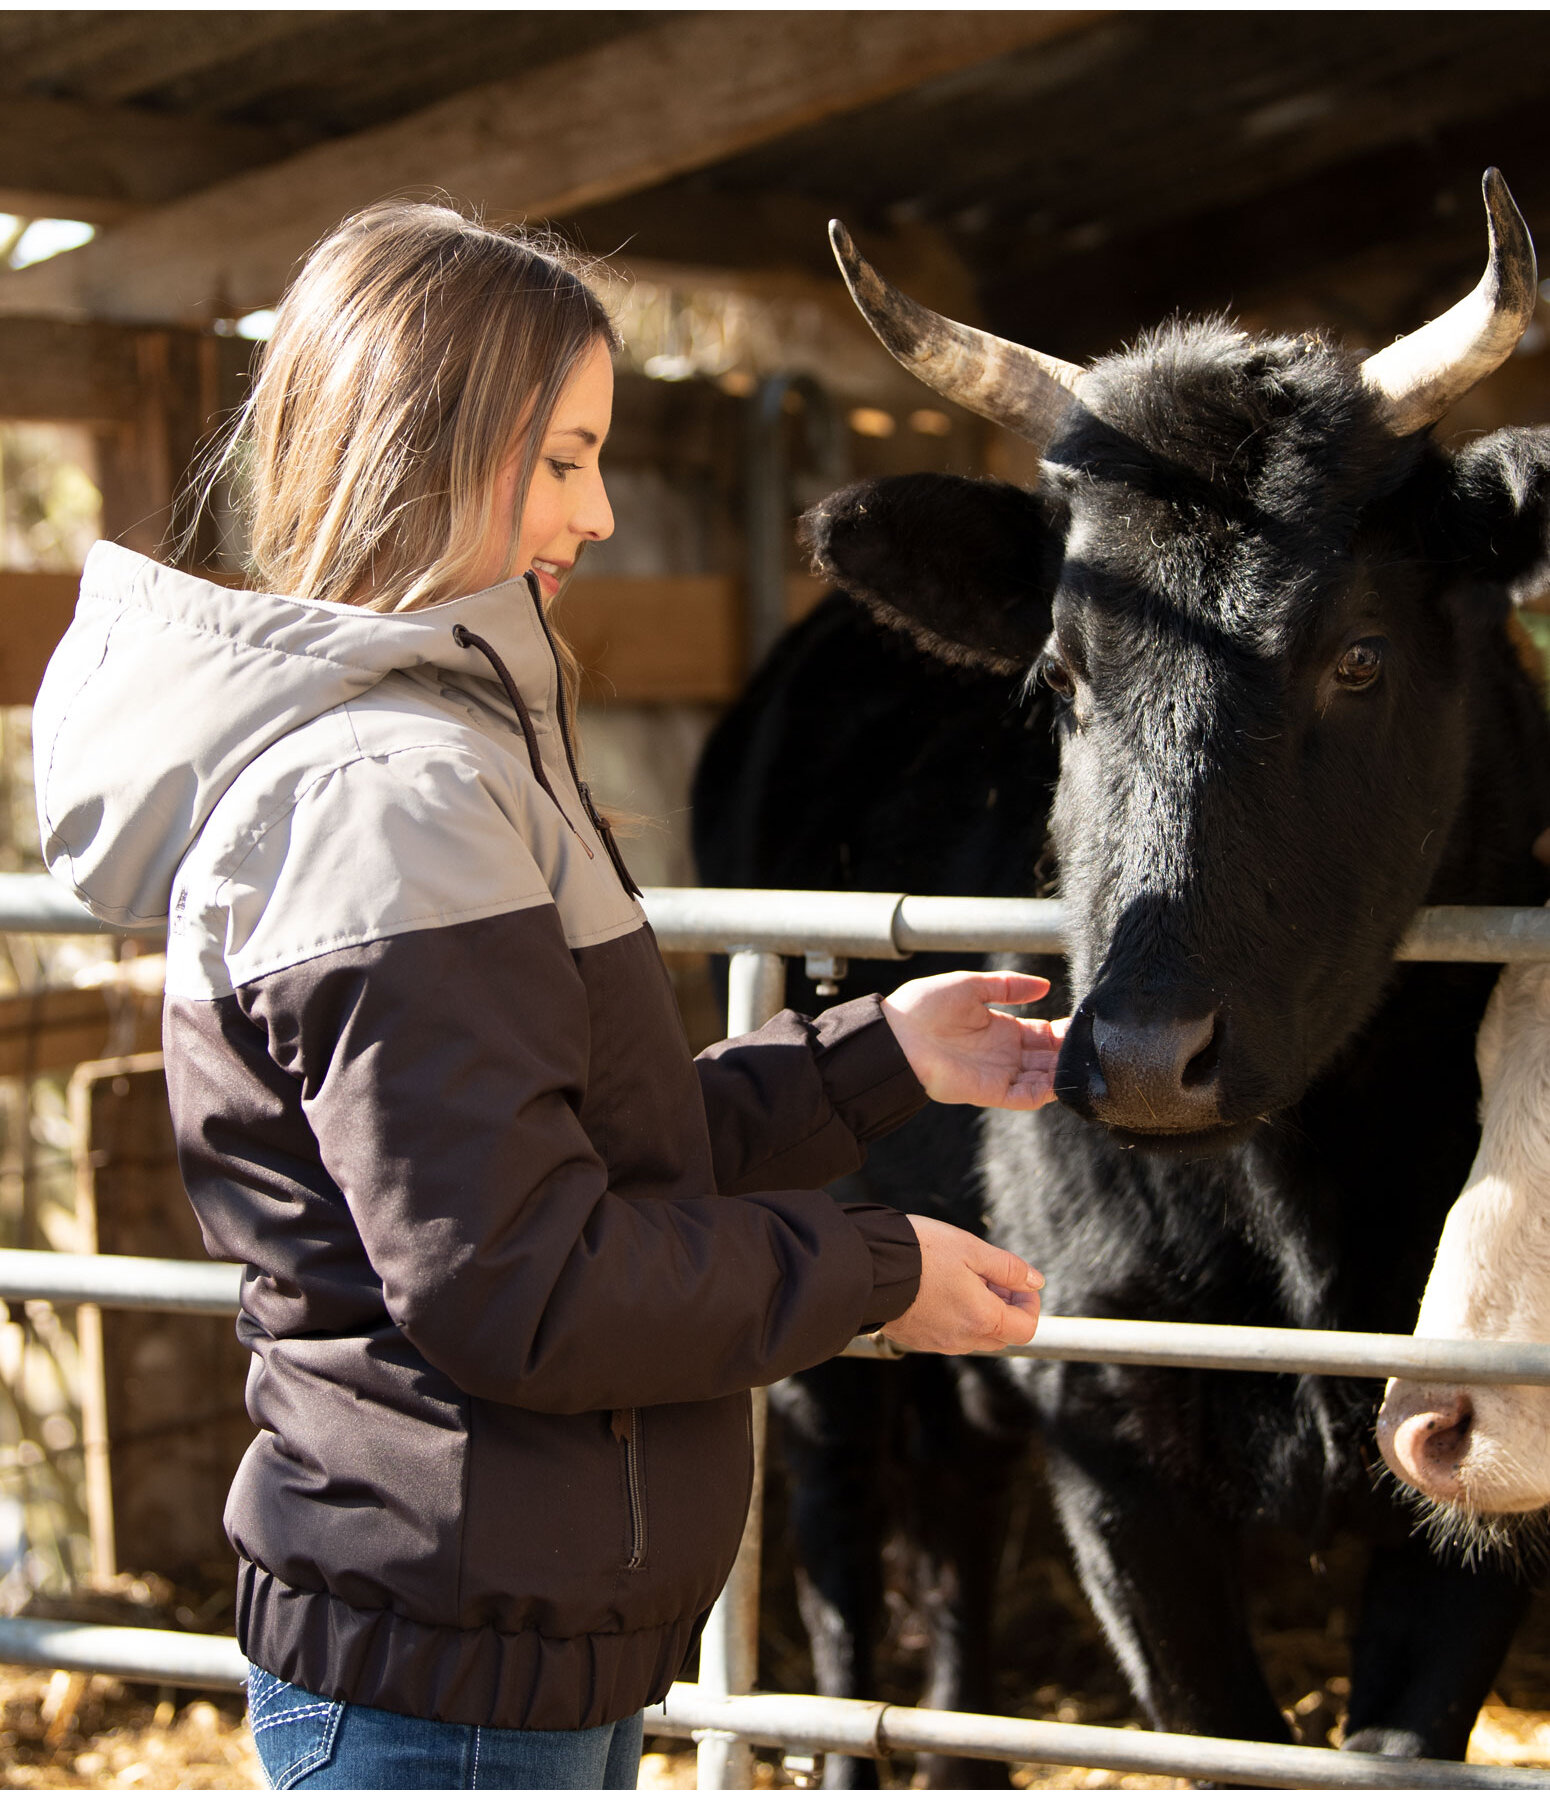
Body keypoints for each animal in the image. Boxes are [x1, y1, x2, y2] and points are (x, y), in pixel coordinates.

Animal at [694, 171, 1548, 1785]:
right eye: (1060, 675)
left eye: (1356, 656)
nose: (1143, 1057)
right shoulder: (1107, 1431)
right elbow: (1216, 1727)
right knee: (840, 1543)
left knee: (952, 1519)